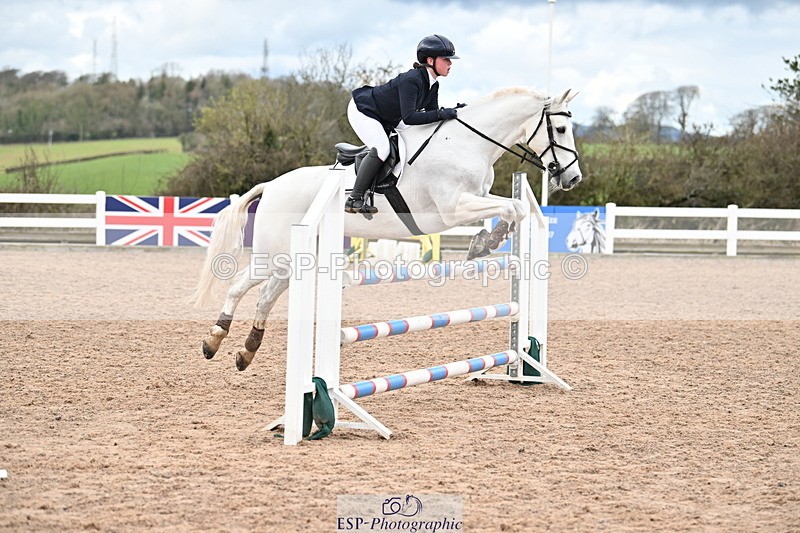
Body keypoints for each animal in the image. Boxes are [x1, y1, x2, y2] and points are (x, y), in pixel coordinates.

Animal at [193, 87, 584, 371]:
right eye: (561, 129)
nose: (573, 179)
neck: (467, 144)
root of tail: (271, 185)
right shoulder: (453, 207)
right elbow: (512, 207)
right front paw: (484, 244)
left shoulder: (477, 197)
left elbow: (515, 207)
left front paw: (487, 240)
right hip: (274, 255)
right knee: (238, 286)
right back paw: (213, 340)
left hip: (291, 262)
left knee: (263, 296)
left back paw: (244, 351)